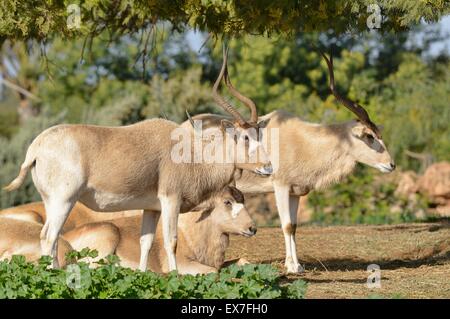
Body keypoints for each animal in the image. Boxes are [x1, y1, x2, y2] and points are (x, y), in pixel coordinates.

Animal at [3, 46, 272, 272]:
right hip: (64, 200)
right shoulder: (170, 200)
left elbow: (146, 242)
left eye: (259, 133)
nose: (268, 167)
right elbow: (171, 241)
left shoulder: (151, 208)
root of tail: (36, 147)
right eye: (244, 137)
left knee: (50, 237)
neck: (193, 153)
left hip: (52, 201)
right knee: (49, 236)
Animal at [182, 51, 394, 274]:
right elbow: (285, 224)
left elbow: (293, 226)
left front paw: (297, 264)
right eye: (369, 136)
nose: (391, 164)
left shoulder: (295, 192)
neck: (304, 140)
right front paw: (292, 266)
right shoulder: (281, 187)